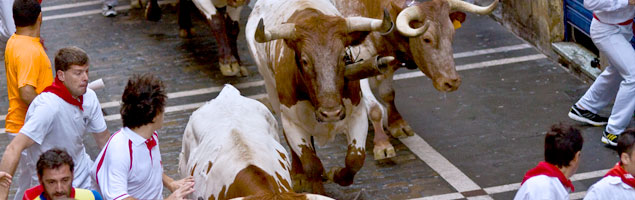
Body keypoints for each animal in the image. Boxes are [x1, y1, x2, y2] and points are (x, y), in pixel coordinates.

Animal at [246, 0, 396, 195]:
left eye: (343, 57)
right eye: (305, 61)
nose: (331, 113)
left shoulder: (357, 114)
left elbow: (355, 159)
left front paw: (335, 174)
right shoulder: (292, 123)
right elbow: (312, 165)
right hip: (272, 91)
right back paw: (298, 175)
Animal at [332, 0, 496, 159]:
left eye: (452, 34)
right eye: (426, 39)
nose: (452, 82)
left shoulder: (386, 65)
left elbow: (388, 94)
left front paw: (398, 124)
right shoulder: (358, 64)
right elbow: (374, 109)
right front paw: (382, 144)